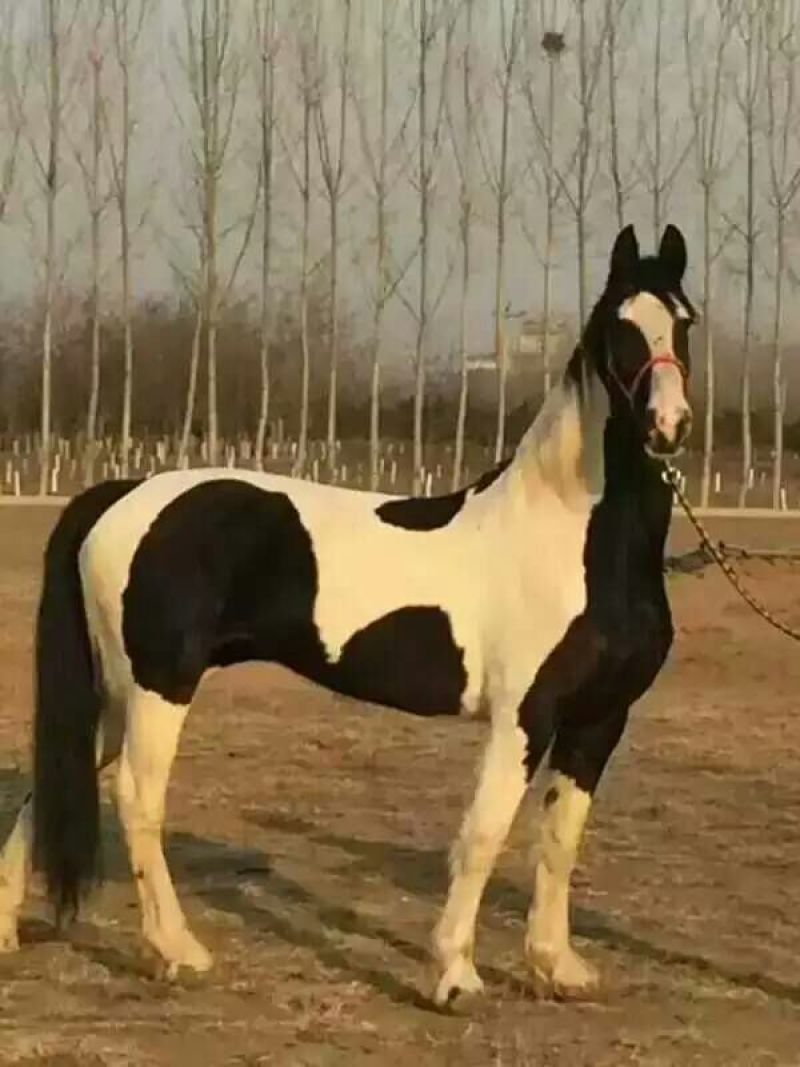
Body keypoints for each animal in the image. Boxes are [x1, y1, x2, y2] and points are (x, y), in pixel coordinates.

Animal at [0, 223, 695, 1005]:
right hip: (158, 687)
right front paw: (453, 974)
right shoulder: (526, 714)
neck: (575, 534)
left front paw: (555, 963)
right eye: (620, 329)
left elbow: (559, 839)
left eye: (685, 322)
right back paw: (178, 950)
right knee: (137, 799)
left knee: (52, 778)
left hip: (114, 693)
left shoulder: (599, 718)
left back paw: (8, 931)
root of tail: (123, 493)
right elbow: (483, 834)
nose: (669, 426)